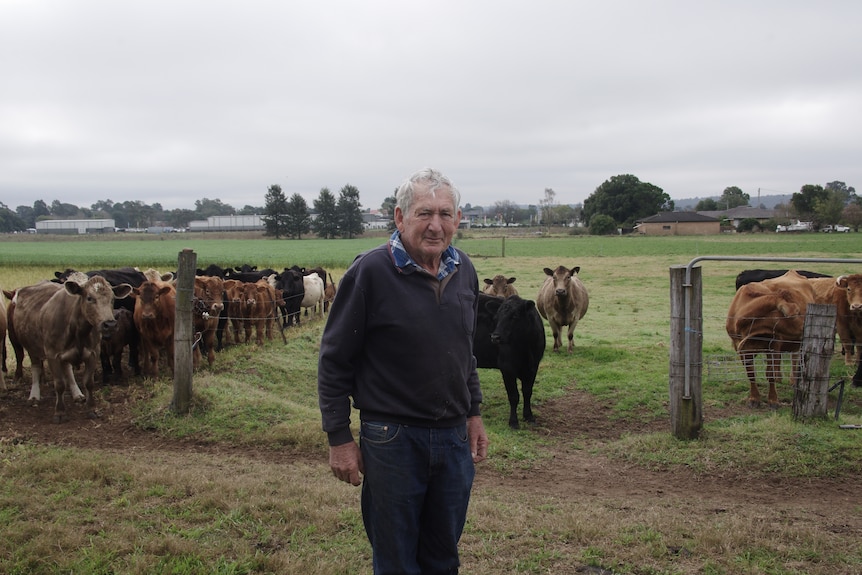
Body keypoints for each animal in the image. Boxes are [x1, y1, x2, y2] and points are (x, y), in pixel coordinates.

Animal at [9, 276, 132, 420]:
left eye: (112, 299)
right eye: (89, 298)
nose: (110, 324)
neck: (77, 330)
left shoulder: (93, 353)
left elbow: (88, 383)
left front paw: (91, 409)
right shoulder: (52, 355)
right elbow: (59, 384)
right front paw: (59, 412)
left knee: (67, 369)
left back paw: (77, 394)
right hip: (31, 347)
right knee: (36, 367)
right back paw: (34, 396)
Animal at [472, 294, 548, 430]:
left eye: (515, 316)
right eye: (496, 318)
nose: (495, 337)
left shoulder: (533, 367)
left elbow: (527, 392)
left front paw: (529, 416)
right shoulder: (507, 368)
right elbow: (513, 396)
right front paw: (513, 421)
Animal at [728, 272, 816, 410]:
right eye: (795, 313)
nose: (807, 325)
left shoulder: (774, 344)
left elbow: (771, 373)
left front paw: (773, 400)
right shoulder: (741, 348)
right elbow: (751, 373)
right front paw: (754, 398)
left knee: (795, 358)